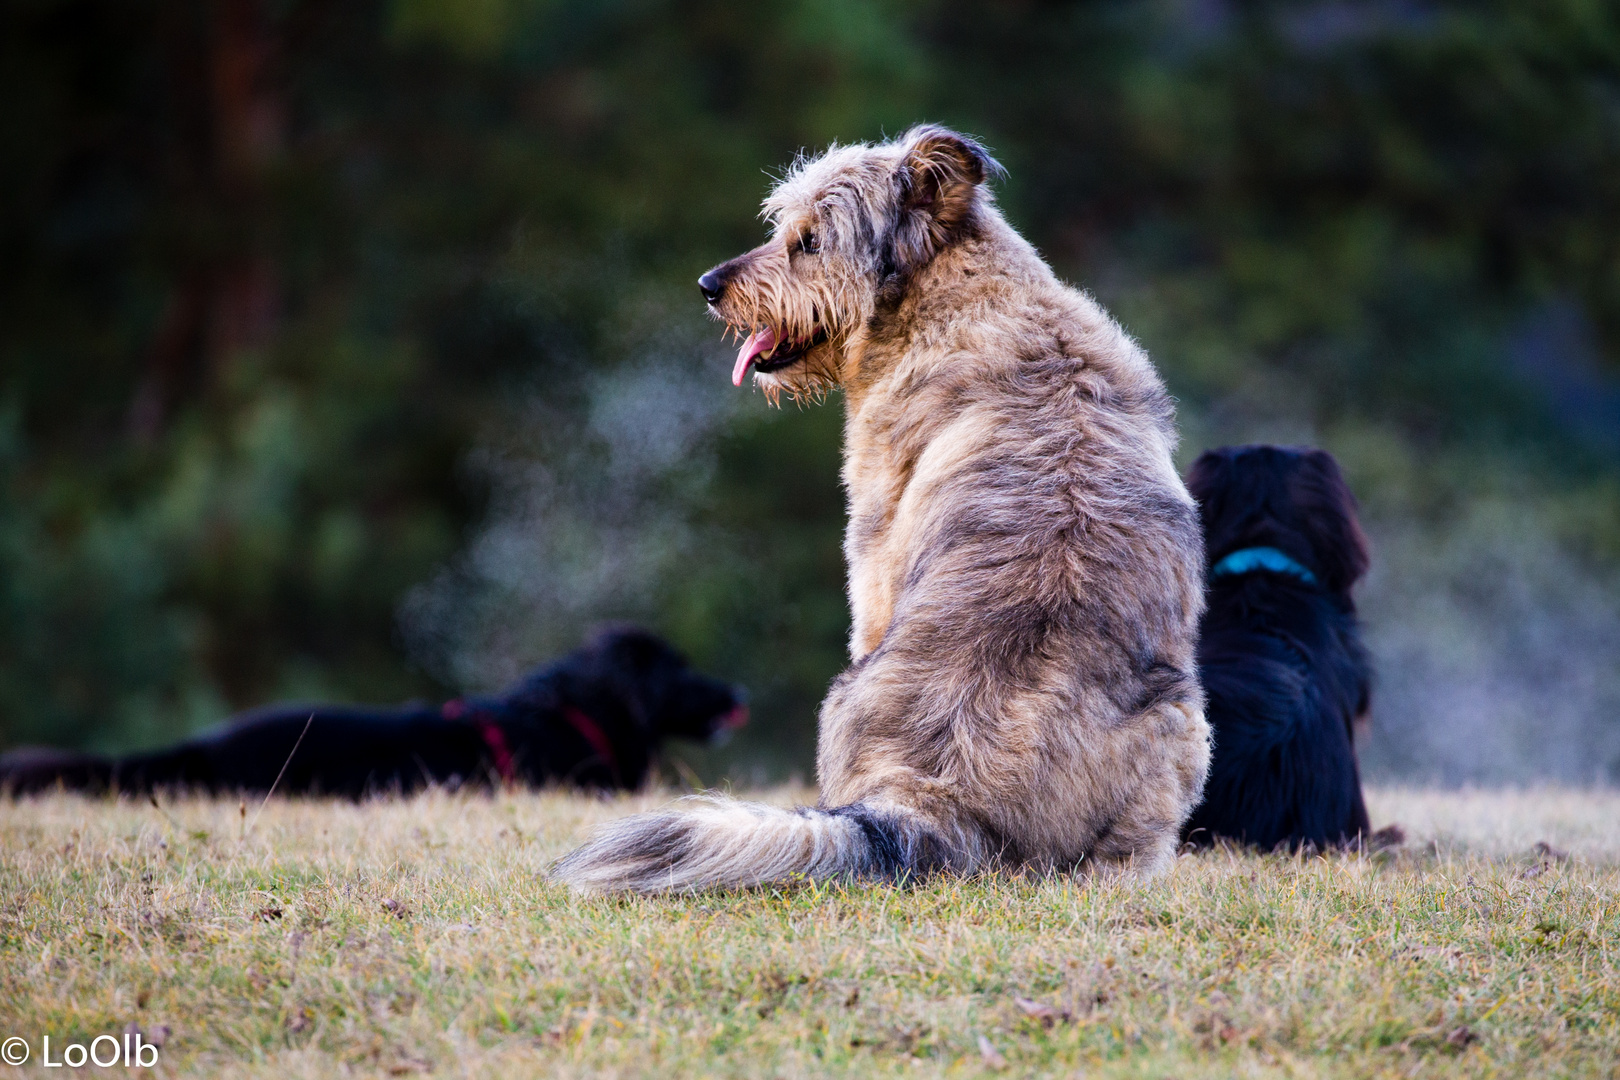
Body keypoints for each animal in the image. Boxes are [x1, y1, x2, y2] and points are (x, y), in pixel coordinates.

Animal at [554, 122, 1205, 893]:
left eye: (809, 241)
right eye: (782, 227)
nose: (709, 288)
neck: (954, 297)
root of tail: (939, 800)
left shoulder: (870, 561)